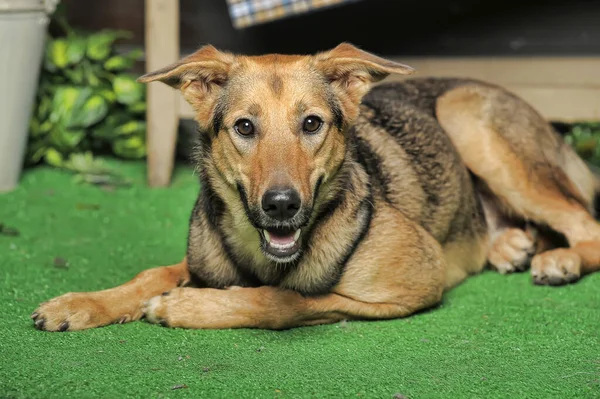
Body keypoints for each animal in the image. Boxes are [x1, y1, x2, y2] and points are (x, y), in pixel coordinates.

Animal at [30, 43, 600, 332]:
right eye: (244, 127)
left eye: (311, 124)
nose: (282, 206)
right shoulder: (202, 261)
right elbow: (152, 274)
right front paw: (82, 304)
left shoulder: (418, 280)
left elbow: (286, 301)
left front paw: (187, 308)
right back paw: (511, 245)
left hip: (467, 116)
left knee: (584, 221)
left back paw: (561, 260)